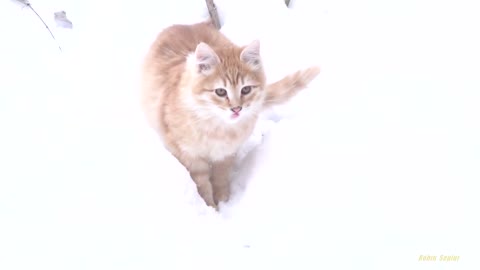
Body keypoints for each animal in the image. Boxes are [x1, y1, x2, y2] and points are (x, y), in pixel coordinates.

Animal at [140, 21, 318, 211]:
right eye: (220, 92)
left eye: (246, 89)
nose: (236, 108)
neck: (217, 129)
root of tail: (187, 24)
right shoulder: (191, 157)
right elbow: (203, 185)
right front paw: (211, 208)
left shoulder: (225, 155)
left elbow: (220, 179)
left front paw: (224, 202)